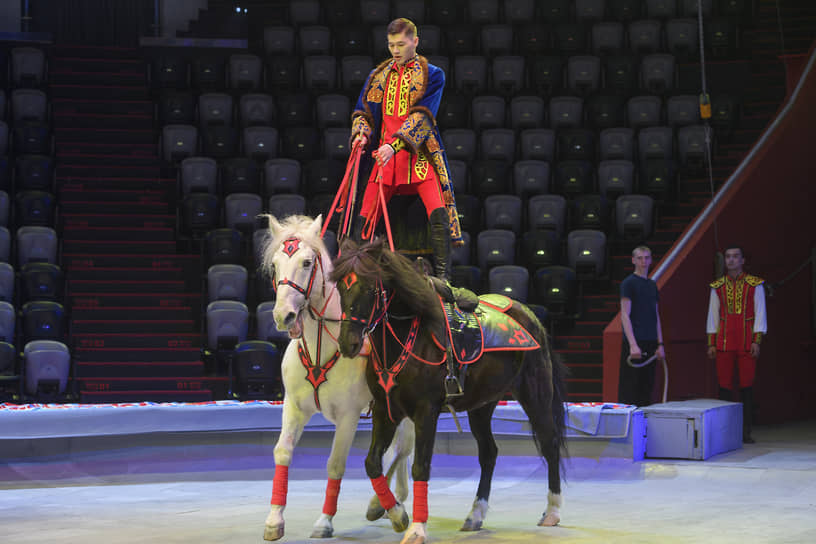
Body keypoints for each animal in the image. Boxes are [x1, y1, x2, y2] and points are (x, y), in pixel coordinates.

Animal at [262, 215, 414, 540]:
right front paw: (274, 519)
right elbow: (282, 452)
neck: (321, 345)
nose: (284, 316)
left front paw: (324, 521)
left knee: (404, 448)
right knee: (395, 451)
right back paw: (393, 497)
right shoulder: (293, 407)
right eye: (275, 265)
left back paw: (384, 503)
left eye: (307, 262)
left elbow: (335, 464)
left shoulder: (348, 415)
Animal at [330, 239, 568, 544]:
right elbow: (372, 463)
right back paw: (475, 514)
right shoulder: (385, 411)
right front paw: (396, 514)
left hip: (535, 394)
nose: (348, 343)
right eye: (341, 287)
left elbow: (421, 466)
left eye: (371, 287)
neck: (407, 339)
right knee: (489, 453)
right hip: (482, 405)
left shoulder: (426, 412)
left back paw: (553, 510)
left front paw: (417, 528)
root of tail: (530, 317)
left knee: (550, 443)